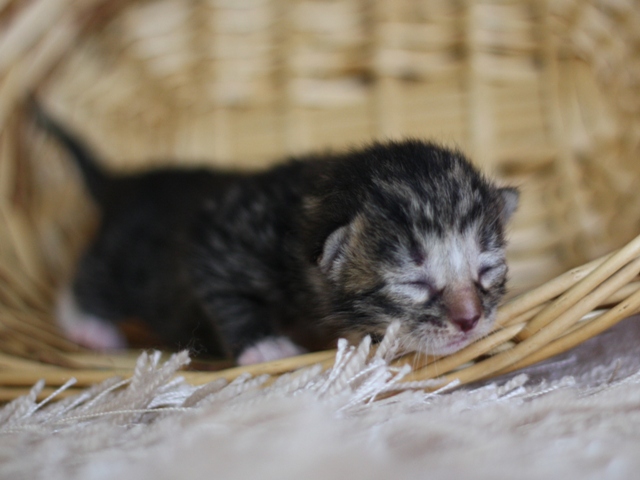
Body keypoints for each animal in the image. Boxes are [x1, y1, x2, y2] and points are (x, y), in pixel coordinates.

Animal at [35, 104, 516, 364]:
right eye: (414, 283)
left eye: (486, 271)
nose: (470, 318)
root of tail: (124, 183)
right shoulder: (221, 238)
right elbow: (227, 293)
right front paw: (266, 346)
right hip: (126, 260)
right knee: (88, 276)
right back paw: (89, 325)